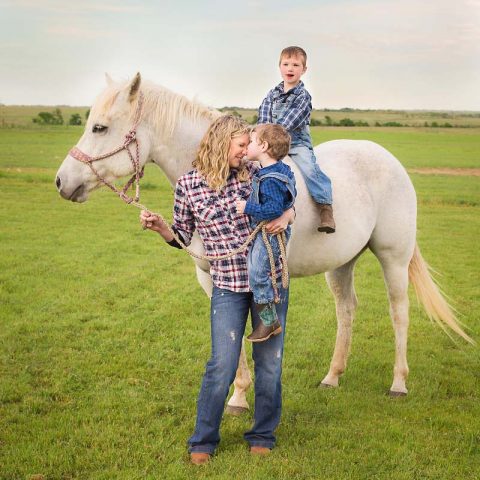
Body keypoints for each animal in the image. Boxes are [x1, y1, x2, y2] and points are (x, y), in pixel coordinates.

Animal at [55, 73, 472, 410]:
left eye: (100, 128)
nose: (61, 181)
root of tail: (389, 159)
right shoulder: (214, 278)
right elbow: (231, 334)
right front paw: (238, 397)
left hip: (393, 257)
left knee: (399, 312)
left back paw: (398, 383)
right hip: (342, 263)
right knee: (347, 310)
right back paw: (332, 377)